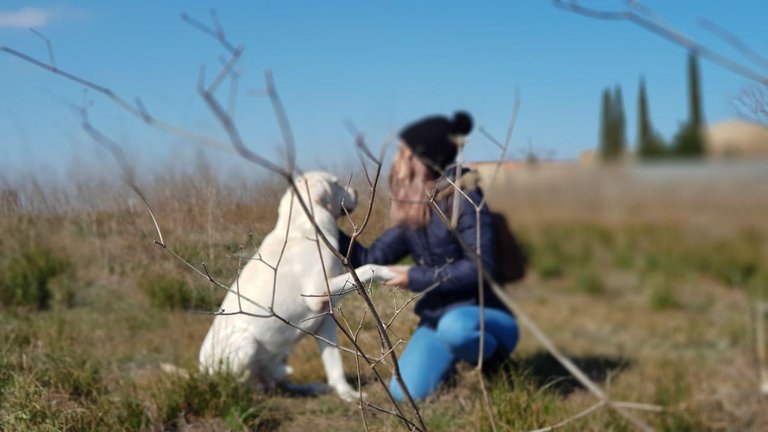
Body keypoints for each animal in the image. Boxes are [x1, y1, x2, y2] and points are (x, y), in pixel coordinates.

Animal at [198, 170, 396, 400]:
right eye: (336, 183)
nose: (356, 191)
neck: (302, 227)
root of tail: (202, 373)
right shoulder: (319, 291)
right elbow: (368, 268)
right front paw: (390, 272)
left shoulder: (324, 319)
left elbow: (334, 365)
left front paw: (348, 395)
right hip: (246, 341)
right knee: (245, 387)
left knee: (279, 383)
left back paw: (311, 388)